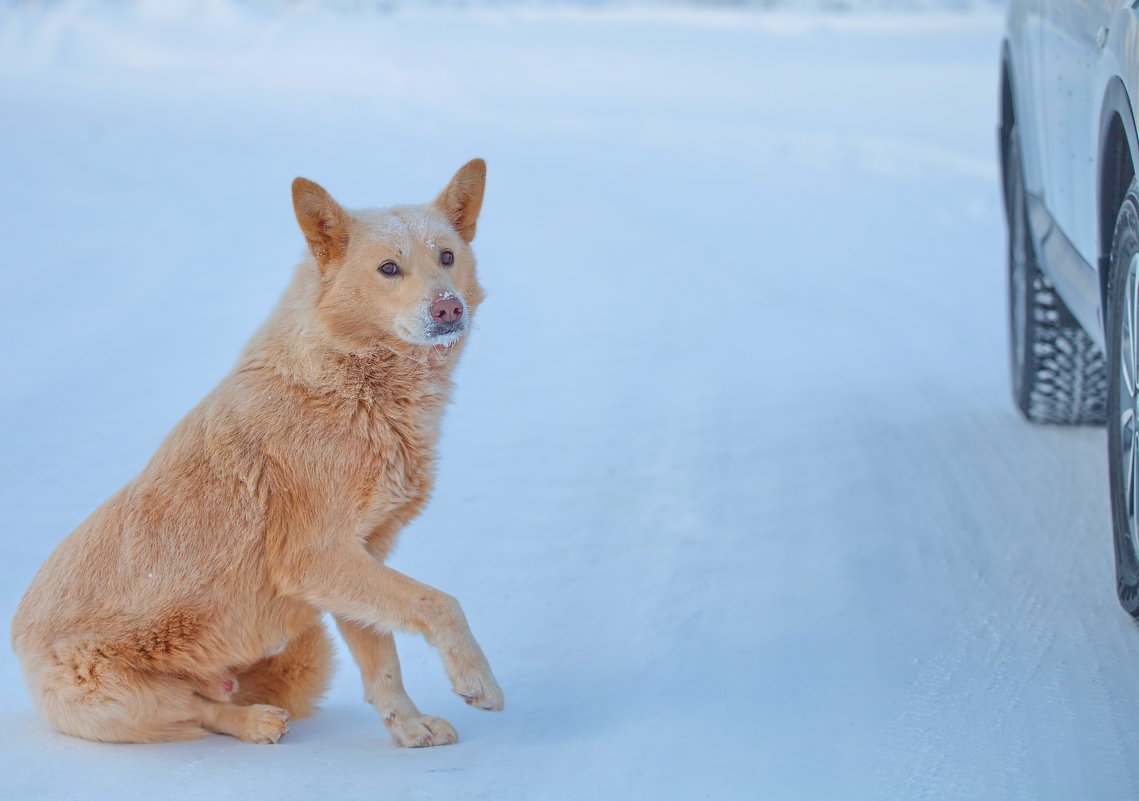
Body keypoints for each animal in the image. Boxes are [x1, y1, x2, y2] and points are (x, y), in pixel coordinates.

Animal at [10, 159, 503, 747]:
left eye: (446, 257)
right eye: (389, 268)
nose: (449, 307)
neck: (354, 386)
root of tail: (15, 635)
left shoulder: (356, 559)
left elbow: (382, 661)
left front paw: (407, 728)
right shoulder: (318, 557)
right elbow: (441, 602)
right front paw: (477, 680)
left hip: (303, 645)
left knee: (214, 700)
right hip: (124, 696)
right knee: (198, 710)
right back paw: (256, 722)